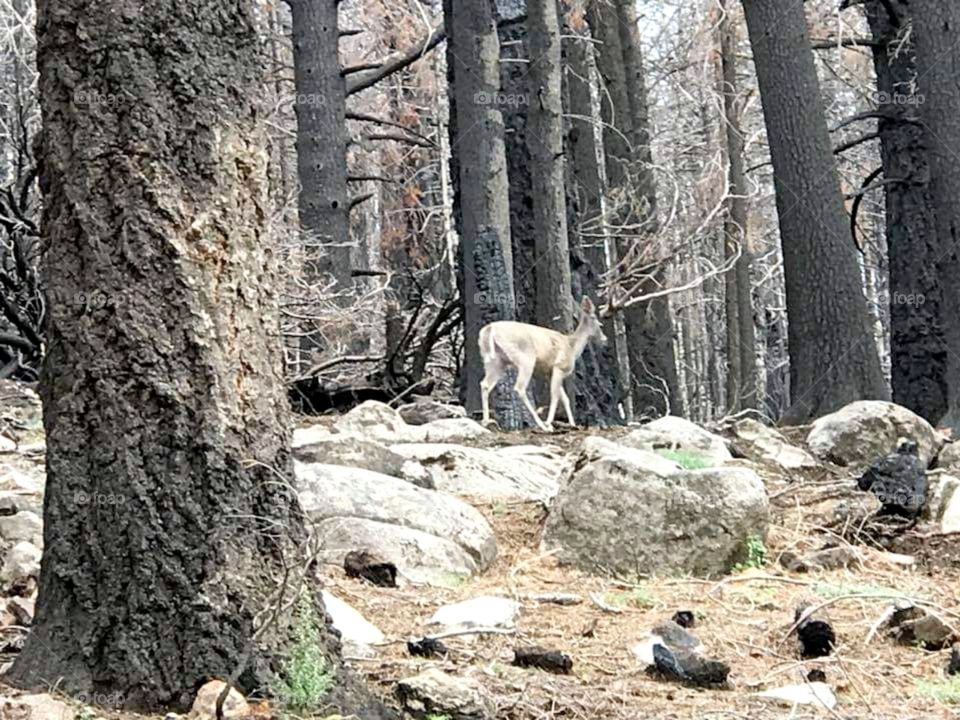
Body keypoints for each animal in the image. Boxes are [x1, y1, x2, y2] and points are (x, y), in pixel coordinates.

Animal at [479, 296, 607, 432]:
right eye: (597, 321)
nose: (604, 339)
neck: (572, 348)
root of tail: (489, 329)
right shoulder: (559, 367)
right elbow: (555, 396)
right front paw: (549, 423)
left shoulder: (549, 372)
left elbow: (565, 398)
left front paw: (572, 424)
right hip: (525, 358)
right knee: (519, 388)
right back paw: (542, 425)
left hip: (495, 360)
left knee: (485, 384)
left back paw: (486, 422)